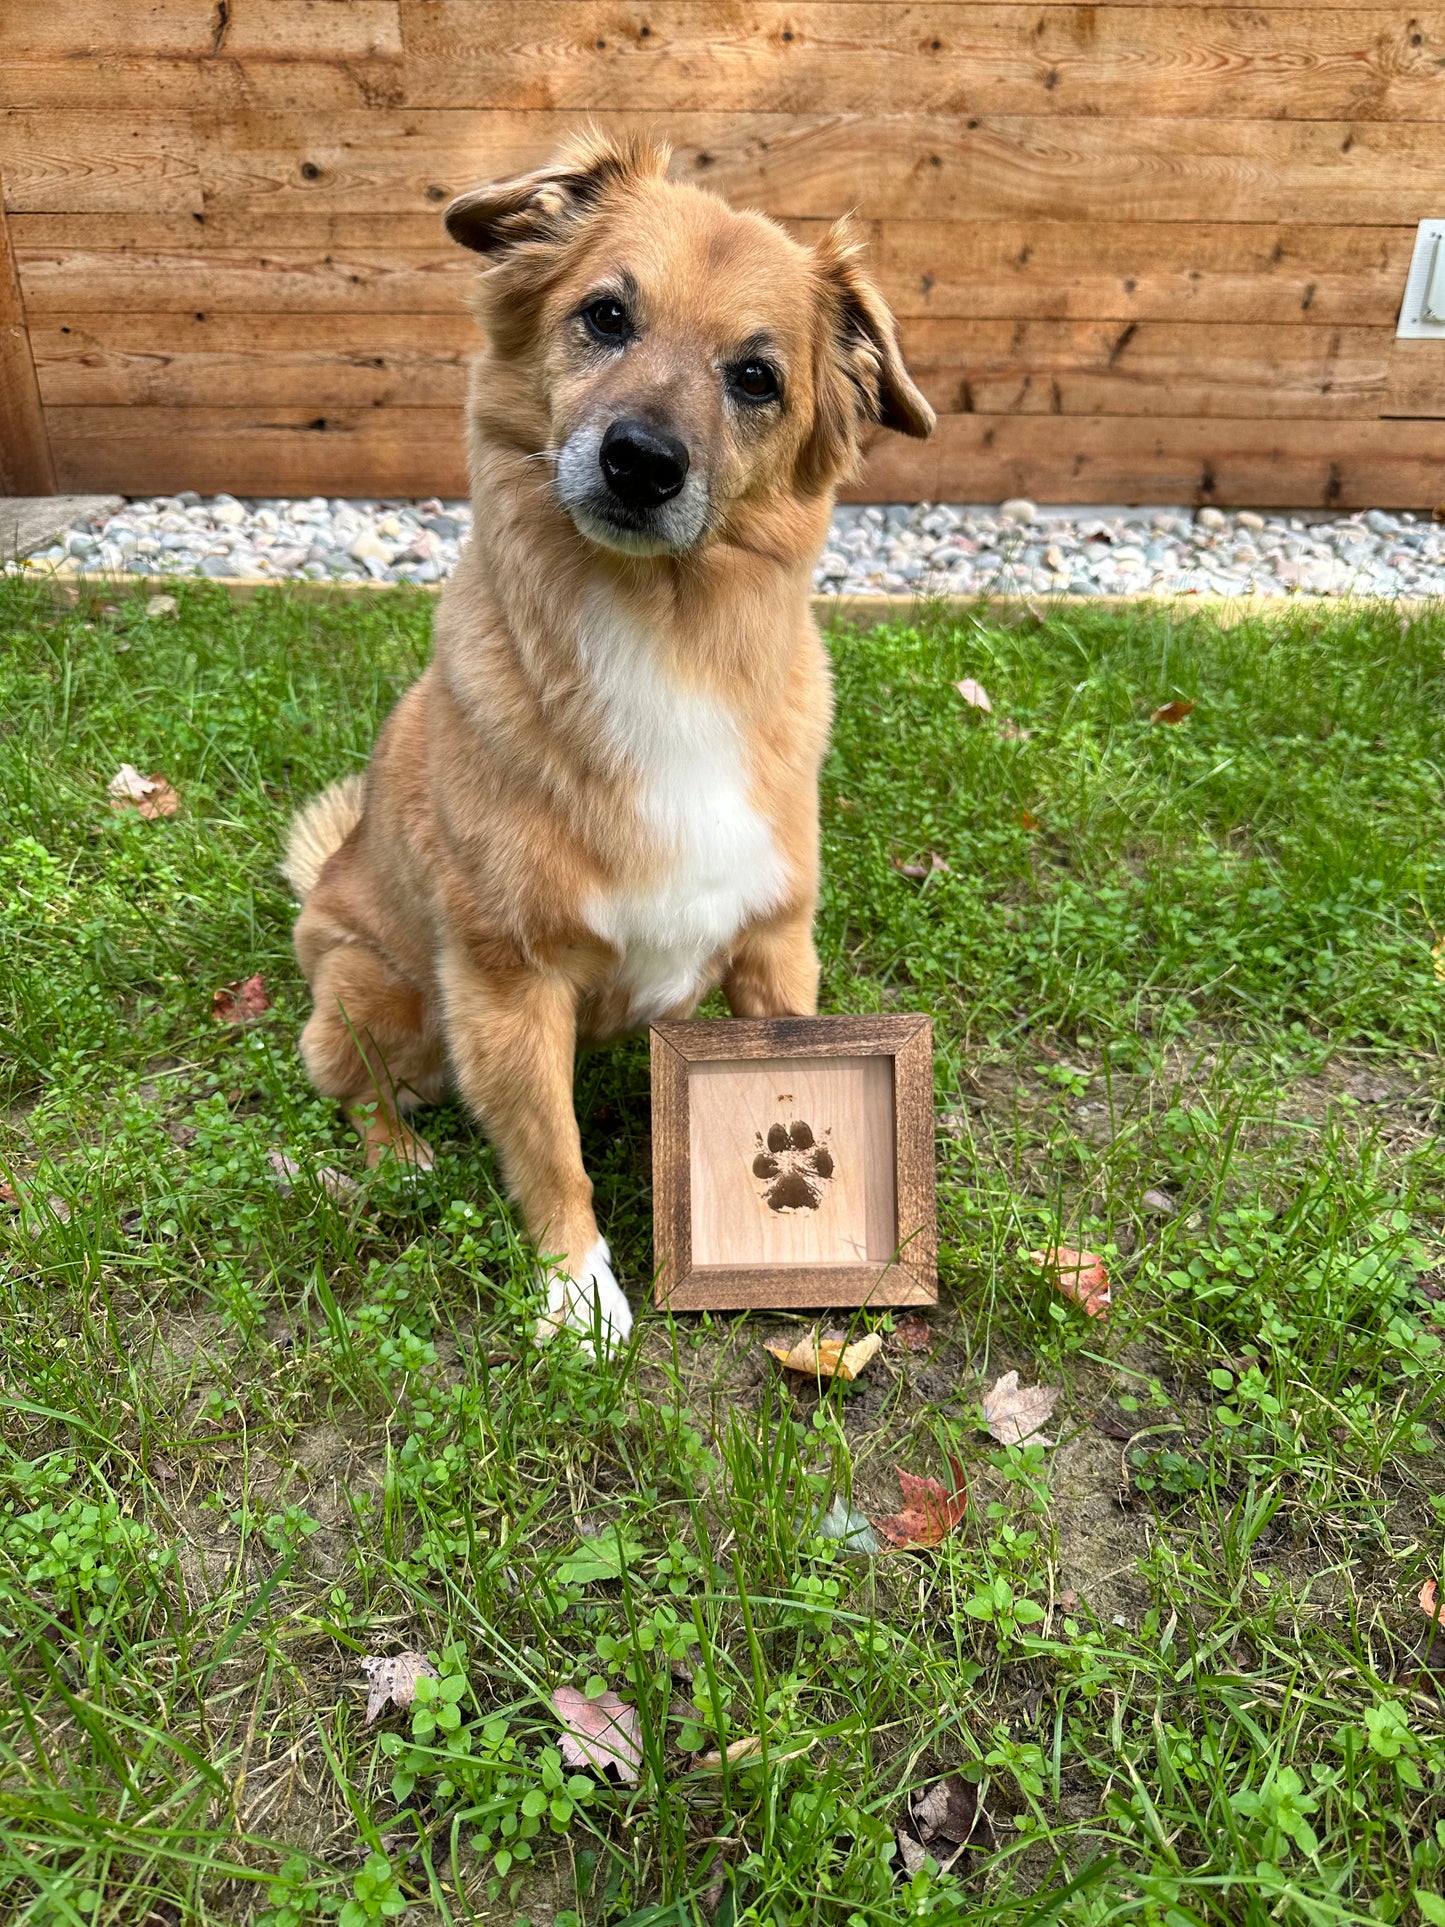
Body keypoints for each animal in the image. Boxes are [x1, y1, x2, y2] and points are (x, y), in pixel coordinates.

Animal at [283, 128, 940, 1348]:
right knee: (356, 1090)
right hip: (374, 992)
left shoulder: (773, 943)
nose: (641, 459)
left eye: (756, 377)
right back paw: (397, 1152)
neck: (662, 634)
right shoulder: (505, 982)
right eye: (605, 315)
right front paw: (579, 1293)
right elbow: (549, 1153)